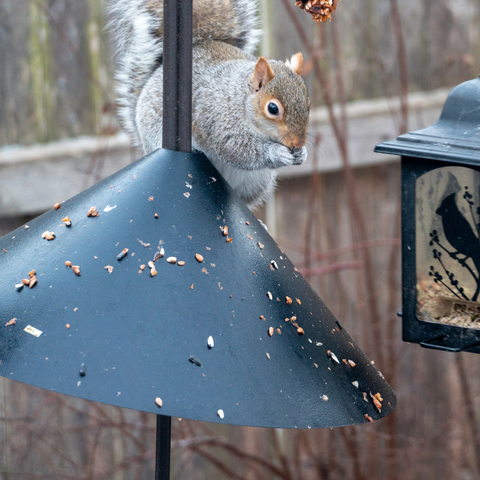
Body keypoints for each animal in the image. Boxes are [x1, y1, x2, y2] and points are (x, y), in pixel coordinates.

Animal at [108, 0, 312, 207]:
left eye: (308, 102)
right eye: (272, 108)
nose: (298, 142)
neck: (240, 100)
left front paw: (302, 153)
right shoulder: (218, 120)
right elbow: (238, 150)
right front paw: (276, 153)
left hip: (255, 182)